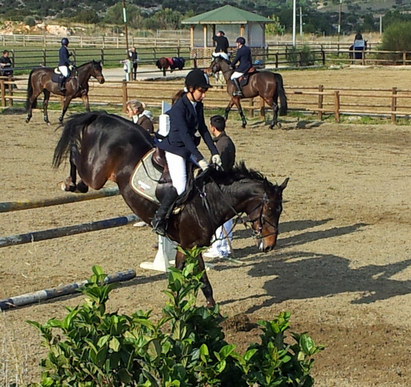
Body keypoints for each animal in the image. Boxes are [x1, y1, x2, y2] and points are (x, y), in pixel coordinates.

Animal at [52, 112, 290, 310]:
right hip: (96, 174)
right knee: (76, 156)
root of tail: (103, 115)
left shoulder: (187, 246)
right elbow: (194, 279)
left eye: (279, 211)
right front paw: (195, 310)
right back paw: (69, 183)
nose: (270, 245)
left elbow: (188, 278)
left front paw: (194, 308)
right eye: (269, 208)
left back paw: (75, 184)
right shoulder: (190, 246)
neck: (208, 199)